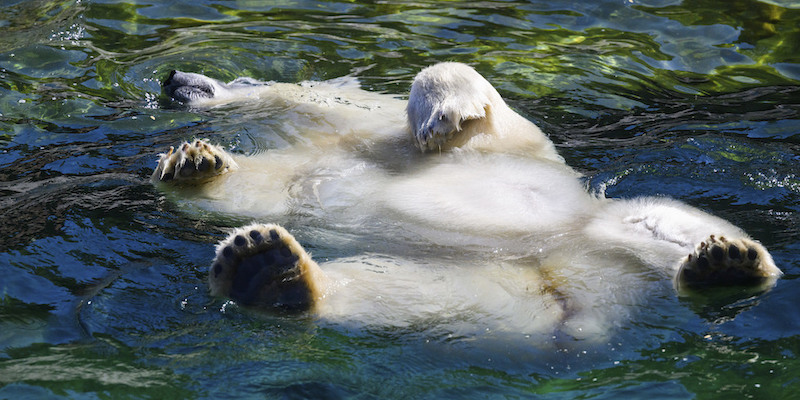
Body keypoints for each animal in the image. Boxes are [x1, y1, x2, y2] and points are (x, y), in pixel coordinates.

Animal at [153, 61, 780, 340]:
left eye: (239, 78)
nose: (172, 79)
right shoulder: (303, 176)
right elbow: (254, 191)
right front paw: (193, 163)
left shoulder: (503, 143)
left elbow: (463, 94)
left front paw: (439, 112)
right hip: (503, 292)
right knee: (425, 295)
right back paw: (268, 271)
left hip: (610, 229)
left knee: (661, 220)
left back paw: (727, 259)